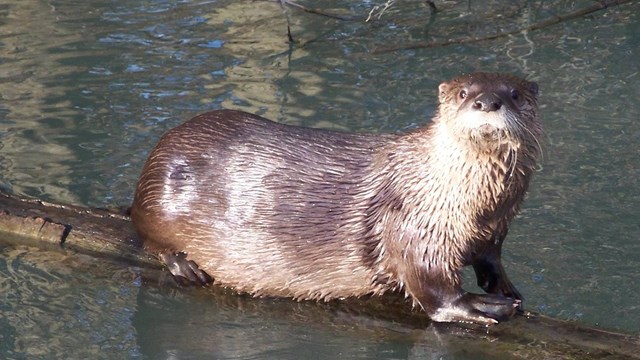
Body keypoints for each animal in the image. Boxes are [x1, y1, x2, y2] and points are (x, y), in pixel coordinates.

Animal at [130, 71, 540, 324]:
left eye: (514, 94)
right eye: (462, 94)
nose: (488, 103)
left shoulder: (496, 229)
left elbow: (491, 258)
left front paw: (505, 287)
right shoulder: (416, 224)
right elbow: (434, 289)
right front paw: (479, 306)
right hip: (158, 197)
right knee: (146, 236)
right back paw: (184, 265)